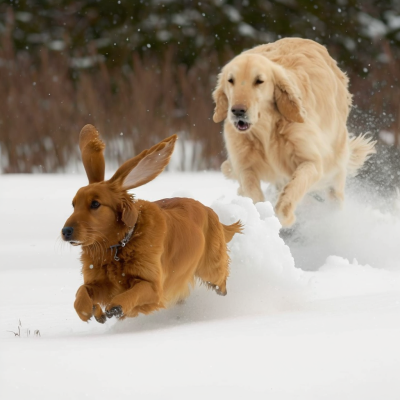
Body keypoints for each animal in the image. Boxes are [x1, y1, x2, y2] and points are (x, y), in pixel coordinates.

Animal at [61, 126, 239, 324]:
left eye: (95, 204)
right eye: (73, 204)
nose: (66, 231)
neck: (119, 246)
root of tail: (208, 210)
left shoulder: (154, 286)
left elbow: (136, 292)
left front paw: (117, 306)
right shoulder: (100, 281)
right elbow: (82, 291)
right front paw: (89, 309)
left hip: (213, 270)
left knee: (221, 285)